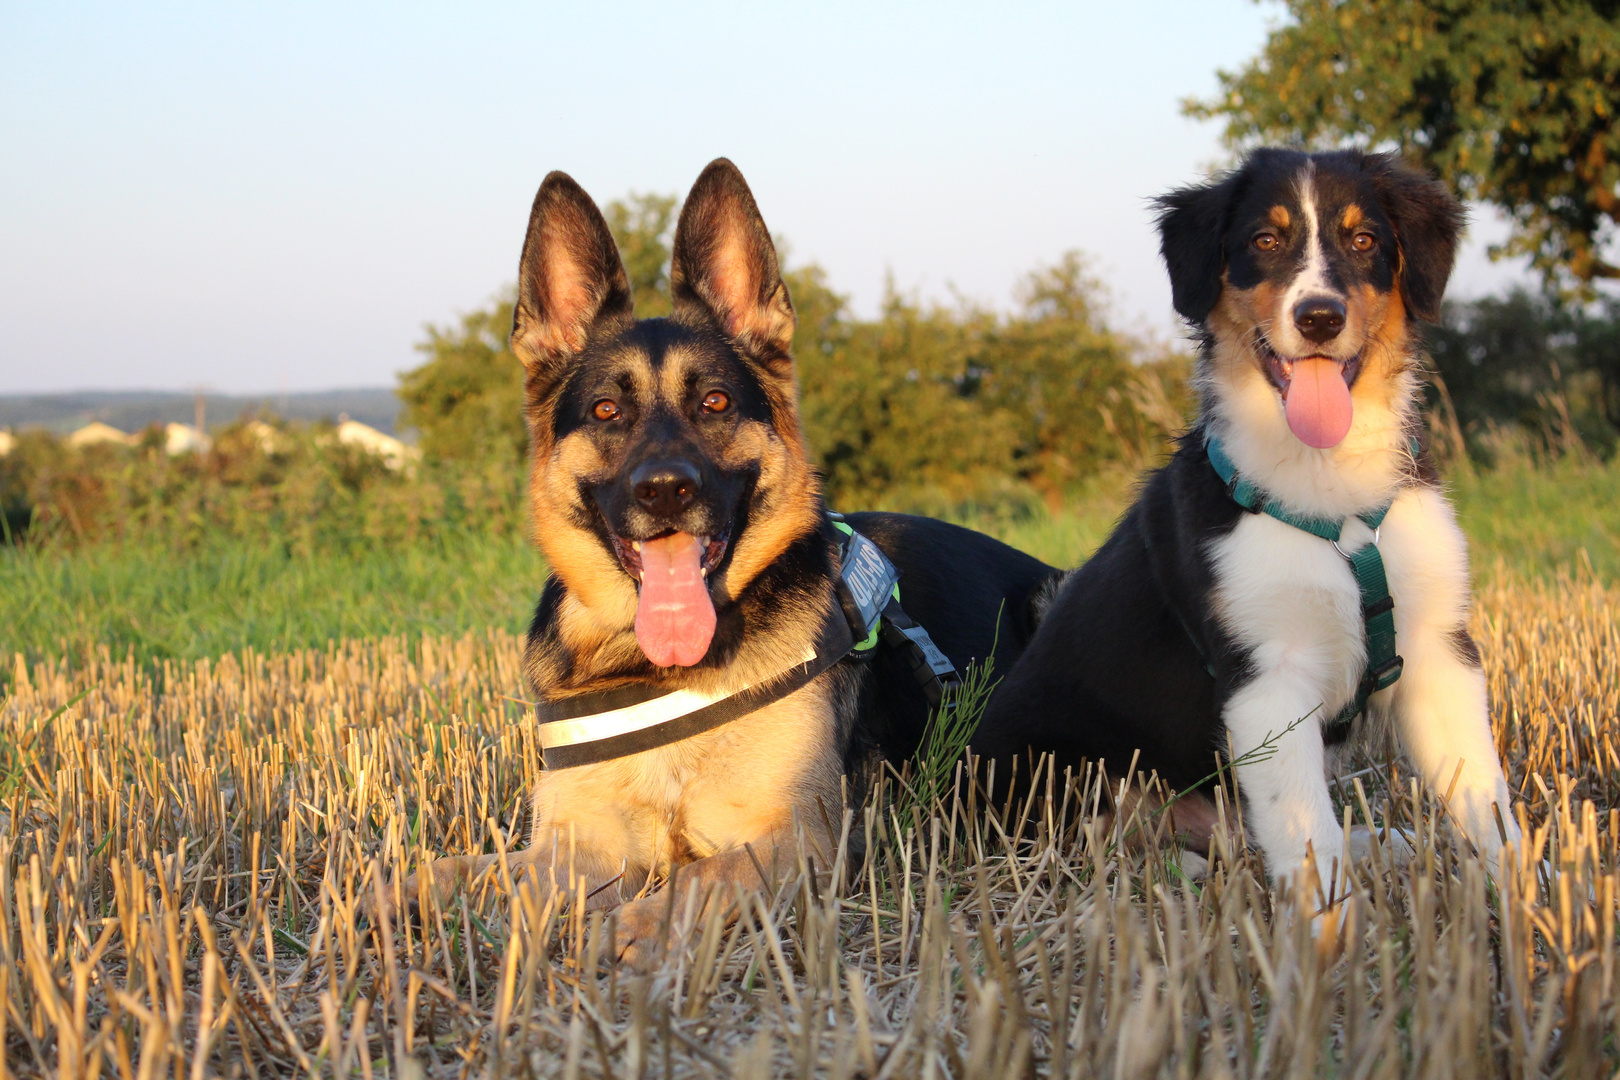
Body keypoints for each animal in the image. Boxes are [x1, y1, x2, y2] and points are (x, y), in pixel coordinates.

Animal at [385, 158, 1056, 965]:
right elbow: (468, 869)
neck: (658, 671)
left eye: (712, 402)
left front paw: (638, 925)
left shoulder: (800, 840)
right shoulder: (575, 845)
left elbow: (705, 875)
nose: (666, 489)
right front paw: (394, 892)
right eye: (606, 411)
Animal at [972, 148, 1516, 900]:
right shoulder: (1267, 678)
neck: (1328, 490)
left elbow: (1488, 805)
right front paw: (1326, 929)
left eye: (1364, 240)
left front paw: (1545, 895)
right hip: (1060, 768)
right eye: (1265, 240)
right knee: (1094, 846)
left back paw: (1390, 842)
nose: (1318, 318)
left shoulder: (1439, 650)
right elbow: (1311, 839)